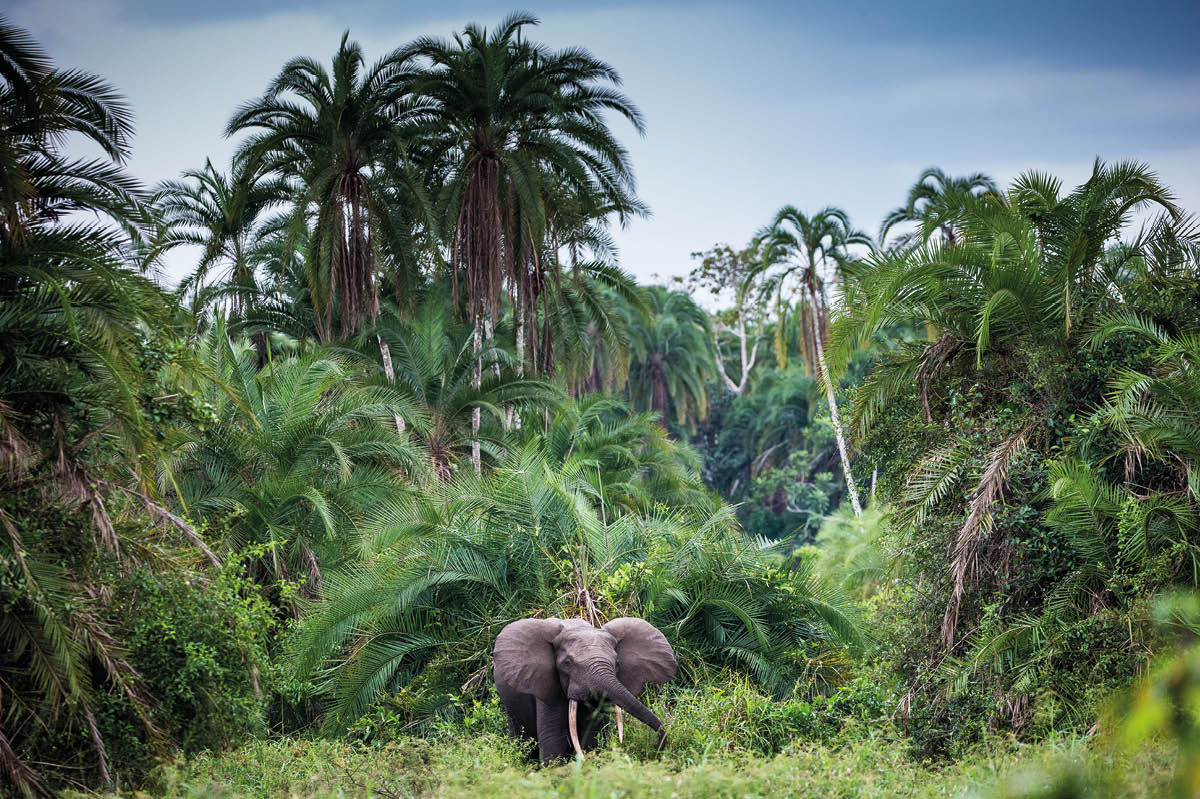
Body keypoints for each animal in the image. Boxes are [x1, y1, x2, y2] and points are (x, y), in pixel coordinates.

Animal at [492, 616, 676, 764]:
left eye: (617, 663)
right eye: (567, 663)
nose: (656, 750)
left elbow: (593, 736)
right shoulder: (547, 686)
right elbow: (554, 739)